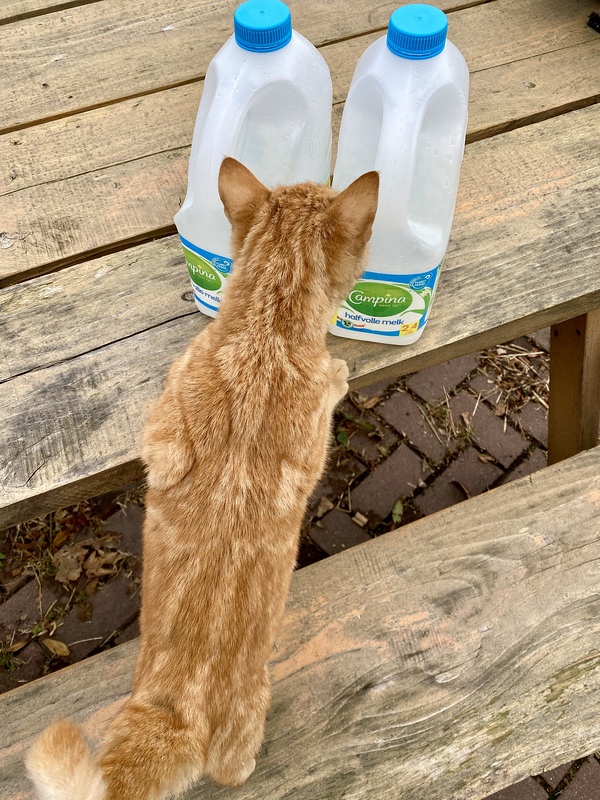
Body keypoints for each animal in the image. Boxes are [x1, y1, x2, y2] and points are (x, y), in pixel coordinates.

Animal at [28, 158, 380, 800]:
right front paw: (342, 367)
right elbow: (333, 381)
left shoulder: (160, 434)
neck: (265, 327)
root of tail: (171, 718)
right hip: (245, 730)